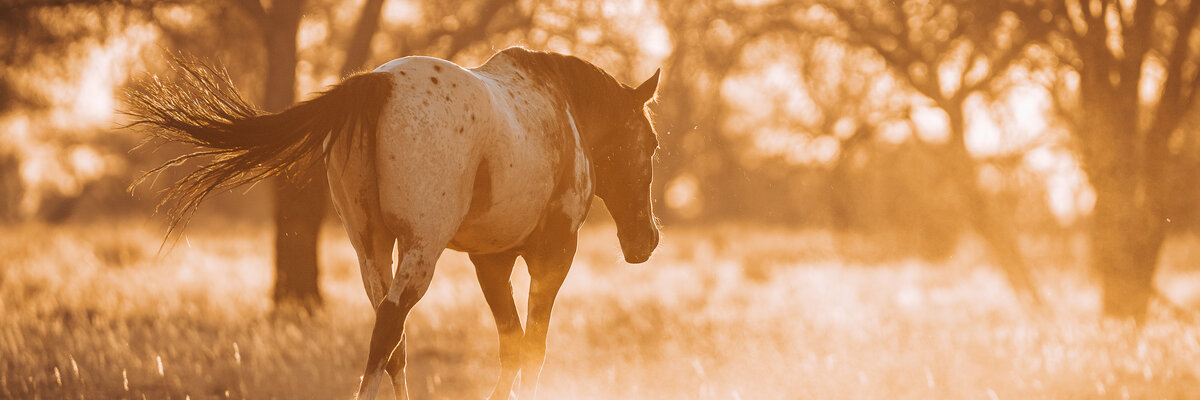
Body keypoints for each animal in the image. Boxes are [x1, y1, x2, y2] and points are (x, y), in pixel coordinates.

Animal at [125, 47, 662, 400]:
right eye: (652, 145)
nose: (647, 240)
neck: (561, 111)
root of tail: (375, 83)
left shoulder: (490, 262)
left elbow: (511, 344)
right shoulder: (551, 256)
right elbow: (533, 347)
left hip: (371, 247)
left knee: (391, 341)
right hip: (421, 248)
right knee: (389, 326)